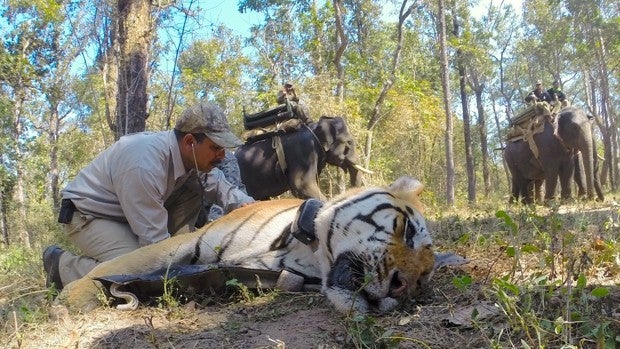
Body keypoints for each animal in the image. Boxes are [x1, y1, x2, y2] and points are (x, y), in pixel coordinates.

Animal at [58, 175, 464, 314]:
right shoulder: (183, 242)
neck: (304, 249)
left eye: (422, 280)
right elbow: (116, 265)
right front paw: (74, 298)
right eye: (405, 229)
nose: (402, 286)